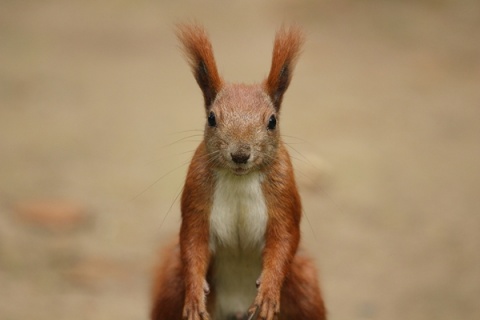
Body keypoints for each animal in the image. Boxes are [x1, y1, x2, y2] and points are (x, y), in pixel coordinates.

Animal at [151, 24, 326, 320]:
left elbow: (285, 240)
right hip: (171, 285)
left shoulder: (283, 194)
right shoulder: (197, 193)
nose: (240, 154)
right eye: (211, 118)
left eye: (272, 121)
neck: (239, 179)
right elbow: (192, 242)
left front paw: (268, 292)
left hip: (304, 287)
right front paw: (194, 297)